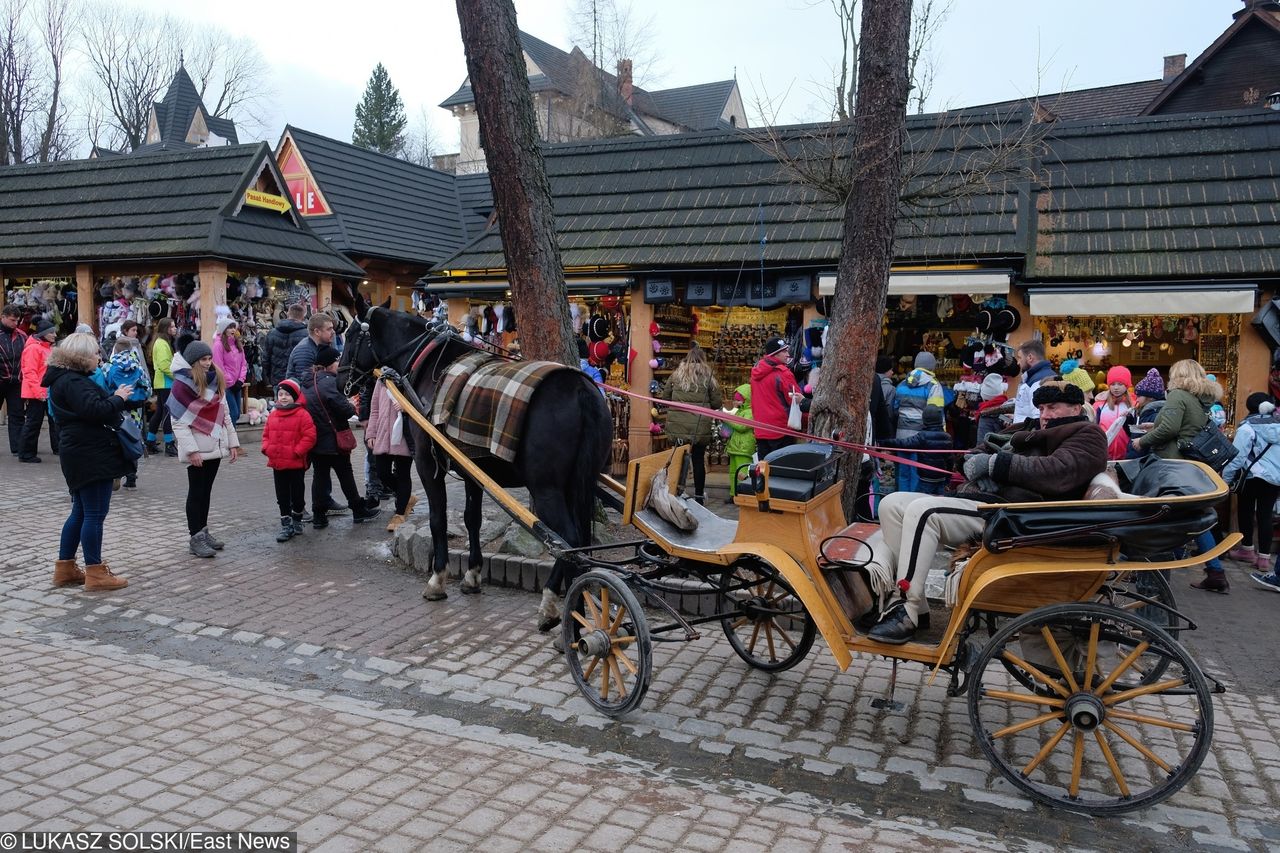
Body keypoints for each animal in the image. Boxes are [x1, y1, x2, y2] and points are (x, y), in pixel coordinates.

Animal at [343, 297, 611, 625]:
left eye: (350, 335)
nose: (340, 376)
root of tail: (581, 389)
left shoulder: (427, 463)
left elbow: (438, 519)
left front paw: (438, 579)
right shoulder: (472, 467)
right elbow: (473, 519)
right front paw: (472, 575)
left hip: (546, 488)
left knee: (569, 540)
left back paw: (550, 602)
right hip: (578, 482)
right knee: (582, 539)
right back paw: (579, 610)